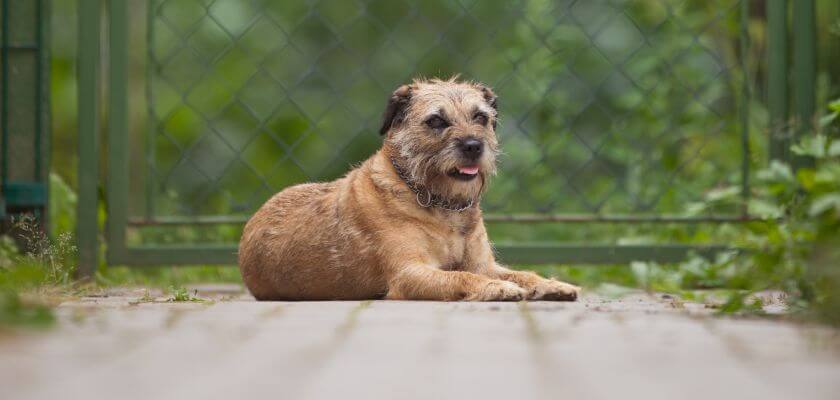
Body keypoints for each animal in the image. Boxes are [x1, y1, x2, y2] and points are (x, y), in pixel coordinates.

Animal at [236, 78, 576, 302]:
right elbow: (461, 276)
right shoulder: (410, 273)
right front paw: (497, 288)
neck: (440, 204)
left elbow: (519, 272)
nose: (473, 146)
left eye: (481, 117)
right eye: (436, 121)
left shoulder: (485, 264)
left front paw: (551, 284)